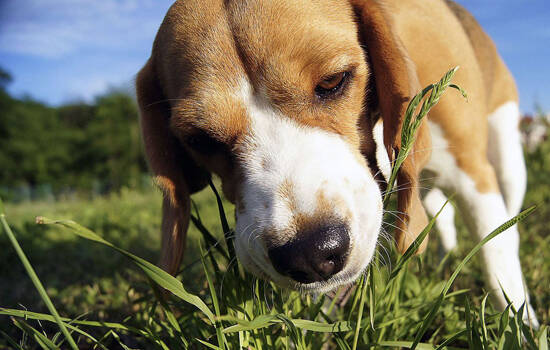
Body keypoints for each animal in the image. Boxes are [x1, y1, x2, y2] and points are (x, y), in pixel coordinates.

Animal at [137, 0, 540, 326]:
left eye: (333, 81)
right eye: (200, 140)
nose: (310, 254)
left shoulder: (473, 173)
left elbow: (497, 255)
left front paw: (521, 326)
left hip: (507, 156)